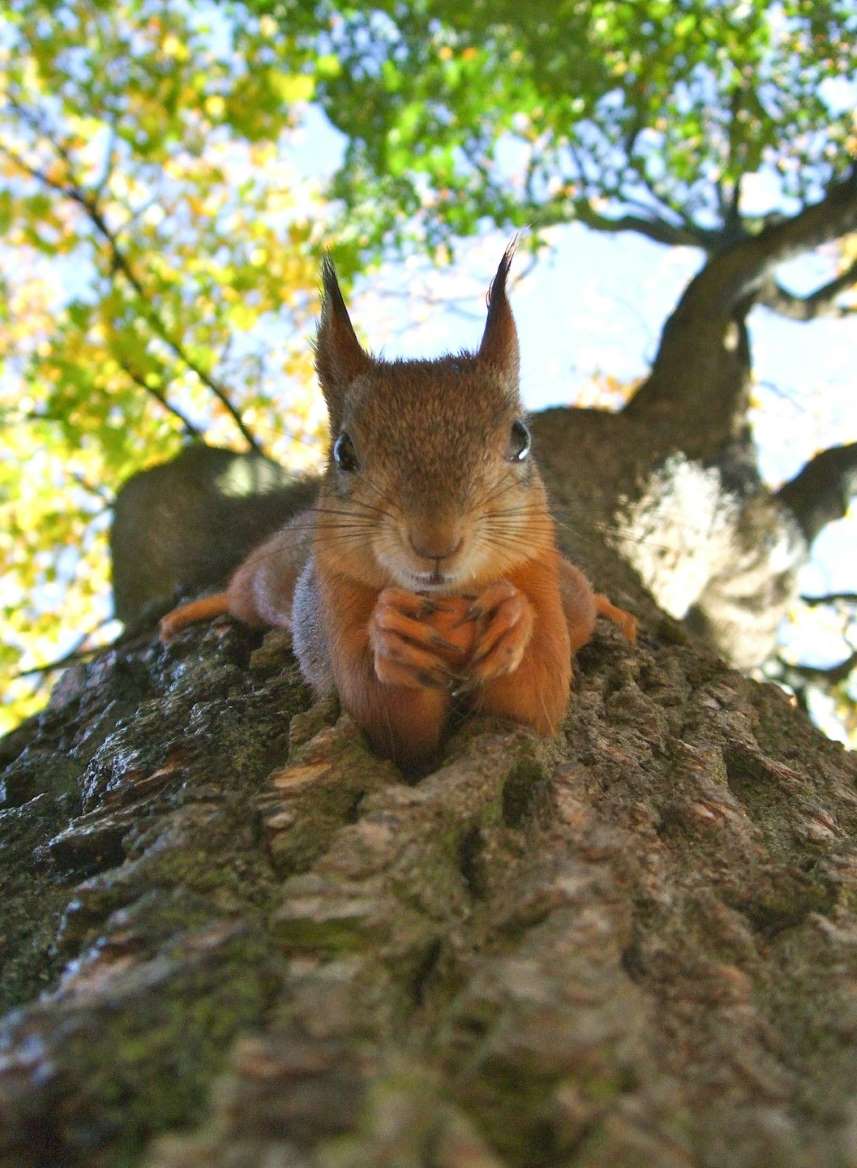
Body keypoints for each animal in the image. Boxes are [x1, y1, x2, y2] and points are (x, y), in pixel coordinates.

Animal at [159, 246, 636, 769]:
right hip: (268, 580)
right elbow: (388, 718)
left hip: (569, 590)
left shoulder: (539, 578)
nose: (436, 542)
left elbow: (536, 699)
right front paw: (391, 635)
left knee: (583, 601)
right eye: (344, 452)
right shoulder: (337, 601)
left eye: (521, 439)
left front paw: (512, 617)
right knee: (240, 594)